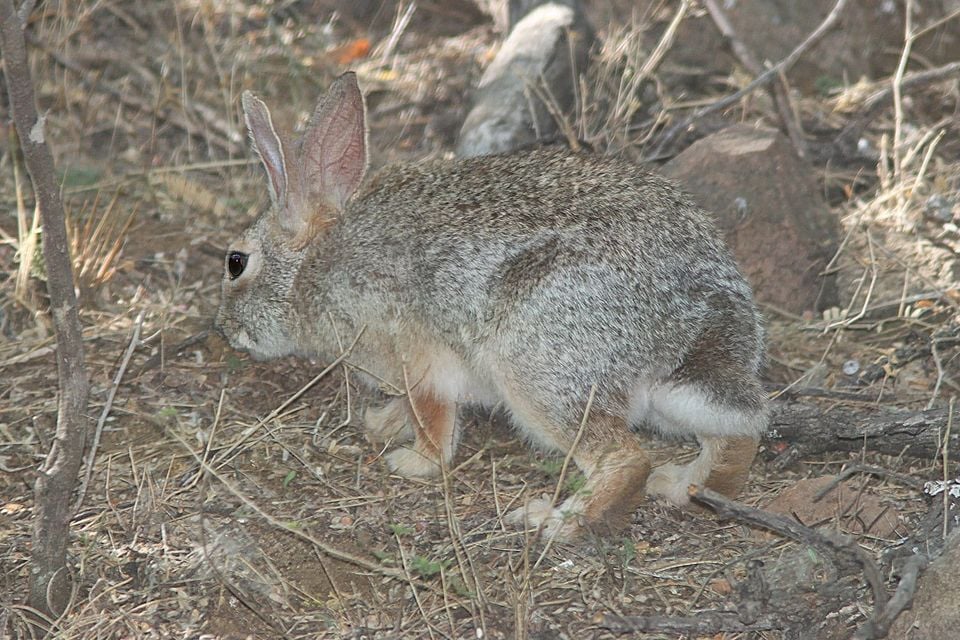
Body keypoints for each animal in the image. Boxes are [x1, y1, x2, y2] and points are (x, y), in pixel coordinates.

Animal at [215, 72, 769, 542]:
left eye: (236, 263)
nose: (223, 330)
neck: (310, 267)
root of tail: (691, 318)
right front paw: (382, 422)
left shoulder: (414, 353)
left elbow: (434, 416)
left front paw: (414, 461)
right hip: (667, 398)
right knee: (739, 434)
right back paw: (684, 485)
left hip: (535, 370)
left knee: (624, 457)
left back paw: (557, 521)